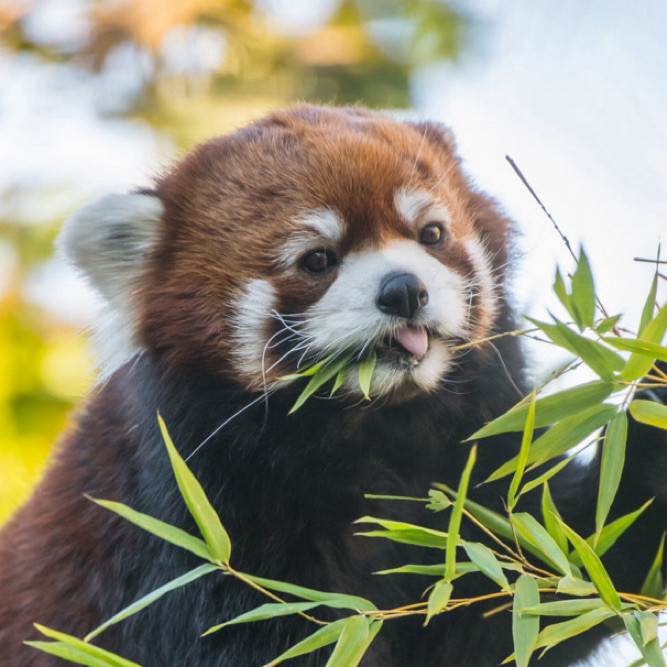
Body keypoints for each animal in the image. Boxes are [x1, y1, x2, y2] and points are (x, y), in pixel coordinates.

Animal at [0, 107, 664, 664]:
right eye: (318, 259)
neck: (374, 426)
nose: (405, 290)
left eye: (431, 234)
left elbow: (555, 578)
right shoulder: (189, 523)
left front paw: (652, 399)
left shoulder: (481, 462)